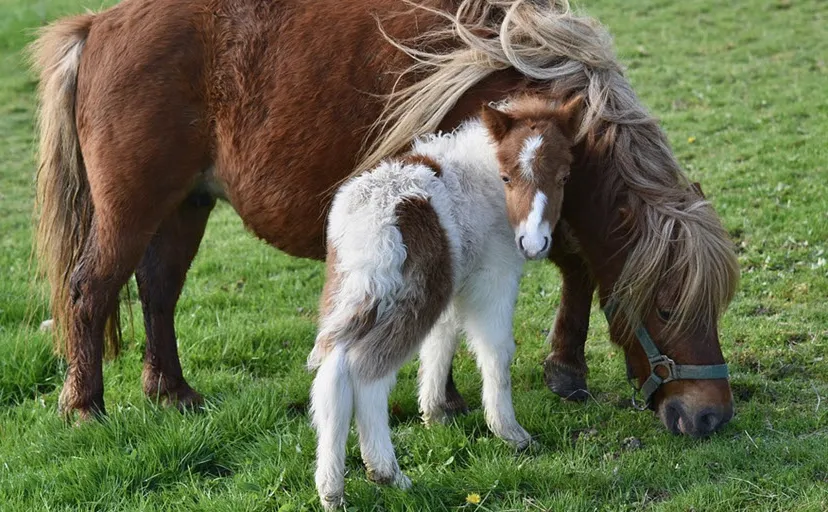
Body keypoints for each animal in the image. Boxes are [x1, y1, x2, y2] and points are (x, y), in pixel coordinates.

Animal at [30, 0, 739, 437]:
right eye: (668, 307)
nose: (711, 417)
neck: (517, 78)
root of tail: (97, 25)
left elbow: (577, 264)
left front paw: (565, 368)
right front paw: (452, 400)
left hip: (184, 206)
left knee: (158, 292)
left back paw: (171, 392)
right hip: (131, 208)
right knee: (90, 291)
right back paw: (86, 408)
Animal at [307, 96, 578, 508]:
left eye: (563, 177)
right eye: (507, 177)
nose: (533, 244)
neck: (481, 181)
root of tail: (374, 221)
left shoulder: (453, 284)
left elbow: (441, 341)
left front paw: (434, 415)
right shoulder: (493, 277)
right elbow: (496, 350)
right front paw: (510, 433)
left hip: (352, 293)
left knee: (333, 372)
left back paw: (331, 490)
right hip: (410, 298)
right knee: (366, 372)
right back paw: (387, 473)